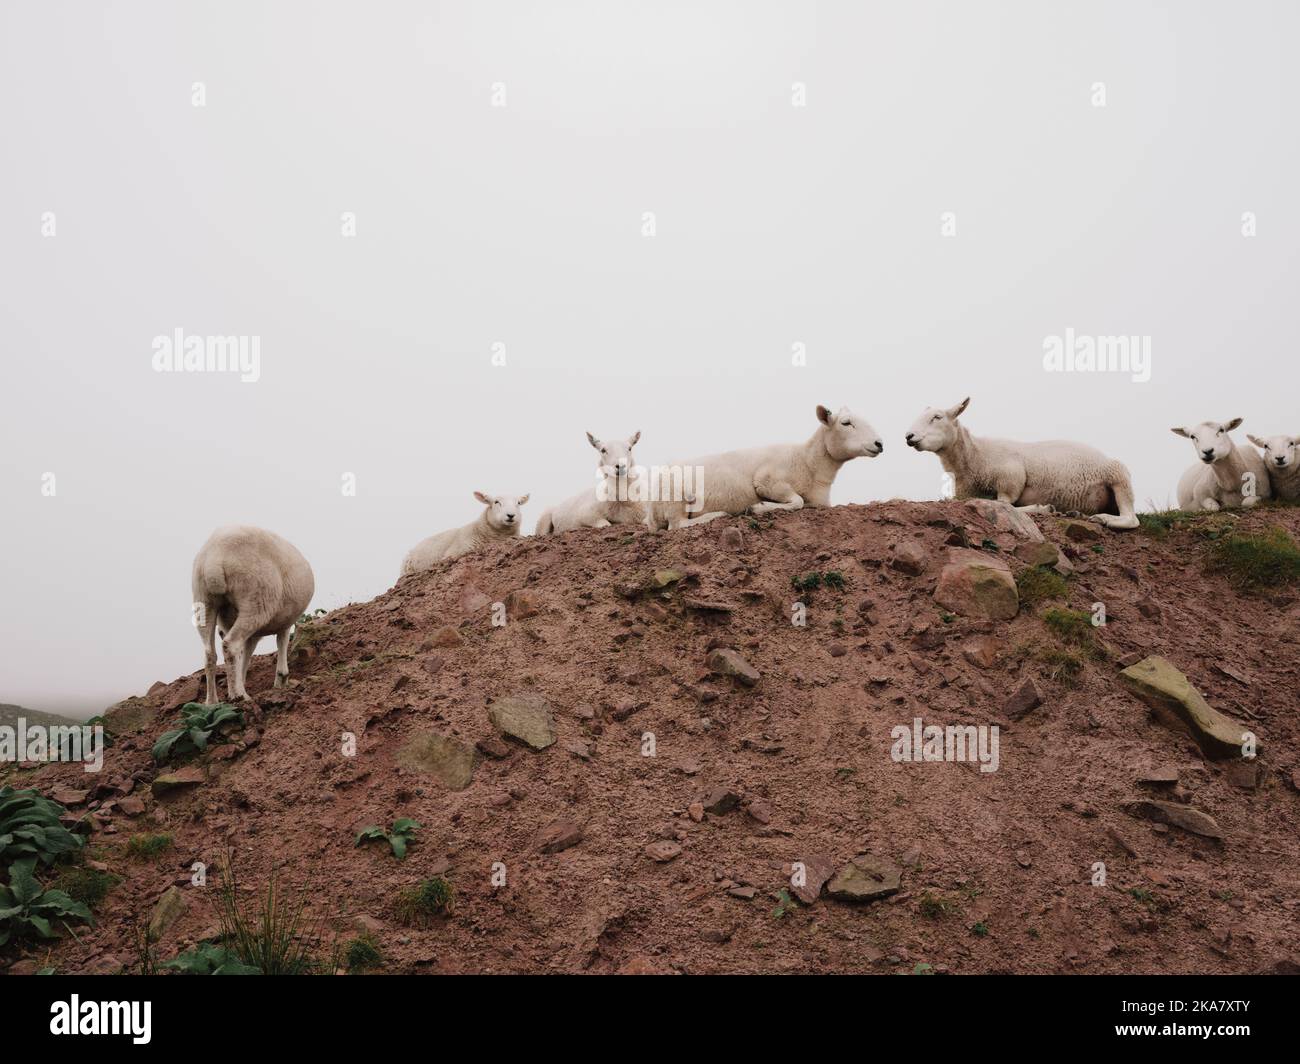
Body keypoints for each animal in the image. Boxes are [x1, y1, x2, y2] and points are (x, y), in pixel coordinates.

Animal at [191, 526, 315, 704]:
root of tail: (216, 559)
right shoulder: (285, 622)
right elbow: (282, 643)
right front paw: (281, 679)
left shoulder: (251, 635)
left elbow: (245, 656)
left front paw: (239, 683)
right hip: (256, 601)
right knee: (230, 645)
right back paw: (239, 696)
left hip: (203, 602)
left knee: (210, 654)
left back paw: (212, 702)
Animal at [646, 405, 883, 531]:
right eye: (846, 423)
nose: (879, 443)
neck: (807, 460)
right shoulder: (767, 480)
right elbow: (797, 501)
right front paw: (759, 507)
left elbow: (802, 502)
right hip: (674, 498)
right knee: (677, 525)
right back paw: (717, 514)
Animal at [904, 397, 1140, 529]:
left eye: (937, 417)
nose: (909, 436)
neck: (976, 455)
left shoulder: (1010, 483)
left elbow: (1006, 505)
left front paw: (1042, 508)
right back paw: (1077, 514)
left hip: (1118, 475)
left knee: (1131, 518)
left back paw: (1103, 519)